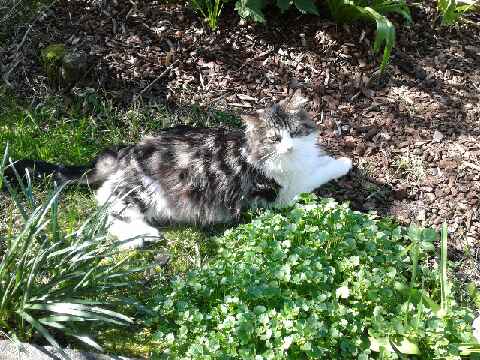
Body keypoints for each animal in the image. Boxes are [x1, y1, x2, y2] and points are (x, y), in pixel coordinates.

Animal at [6, 90, 352, 249]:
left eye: (293, 132)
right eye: (274, 139)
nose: (289, 147)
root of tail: (127, 150)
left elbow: (317, 161)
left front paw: (329, 157)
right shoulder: (283, 194)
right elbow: (319, 174)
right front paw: (344, 163)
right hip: (142, 192)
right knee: (106, 208)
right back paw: (143, 236)